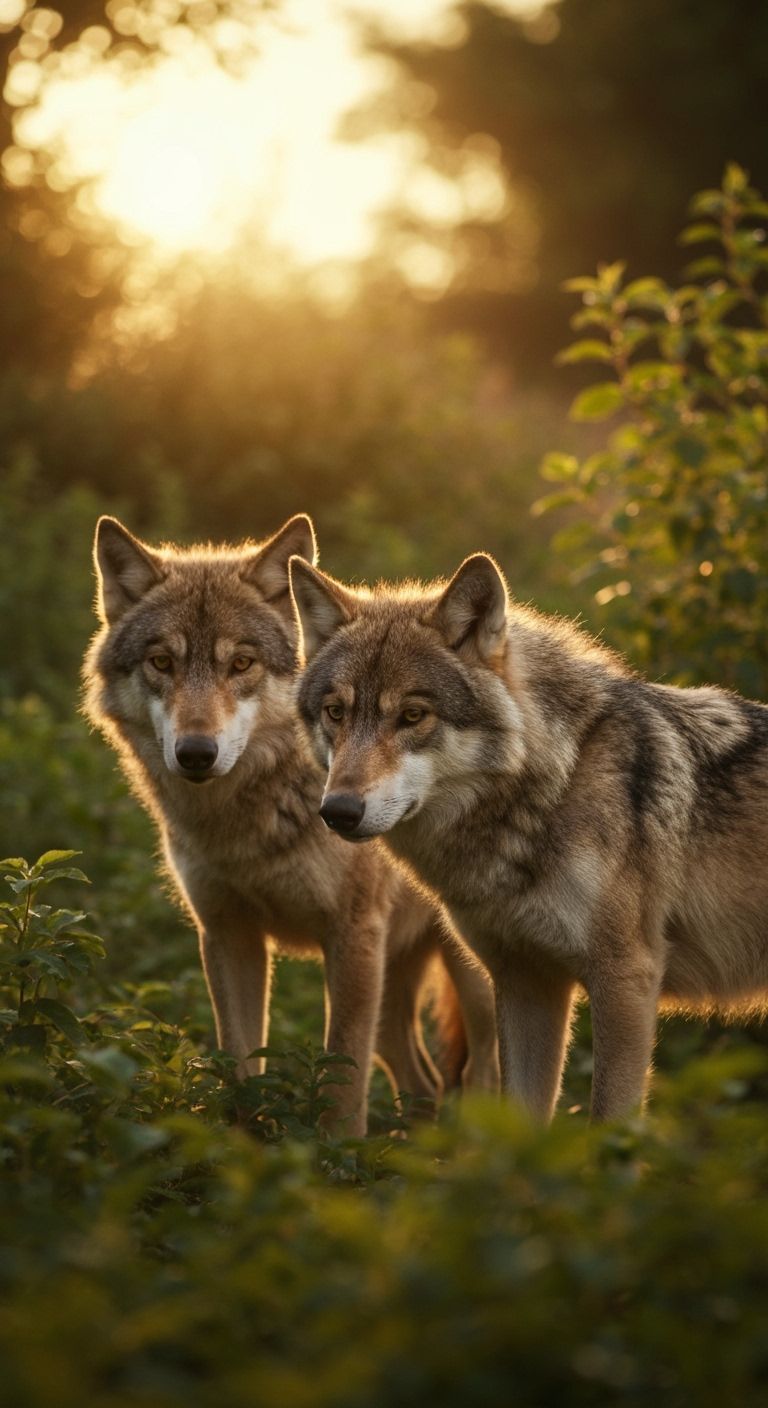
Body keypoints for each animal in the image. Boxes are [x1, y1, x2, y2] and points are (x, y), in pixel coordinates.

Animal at [83, 515, 497, 1136]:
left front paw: (338, 1156)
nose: (196, 753)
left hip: (474, 979)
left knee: (482, 1079)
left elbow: (342, 1088)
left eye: (241, 663)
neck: (248, 824)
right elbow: (239, 1070)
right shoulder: (227, 934)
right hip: (391, 990)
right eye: (162, 663)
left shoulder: (350, 936)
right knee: (424, 1085)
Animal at [290, 548, 768, 1122]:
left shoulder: (625, 981)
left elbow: (610, 1123)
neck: (557, 785)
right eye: (335, 713)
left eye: (412, 715)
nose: (338, 811)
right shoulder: (526, 982)